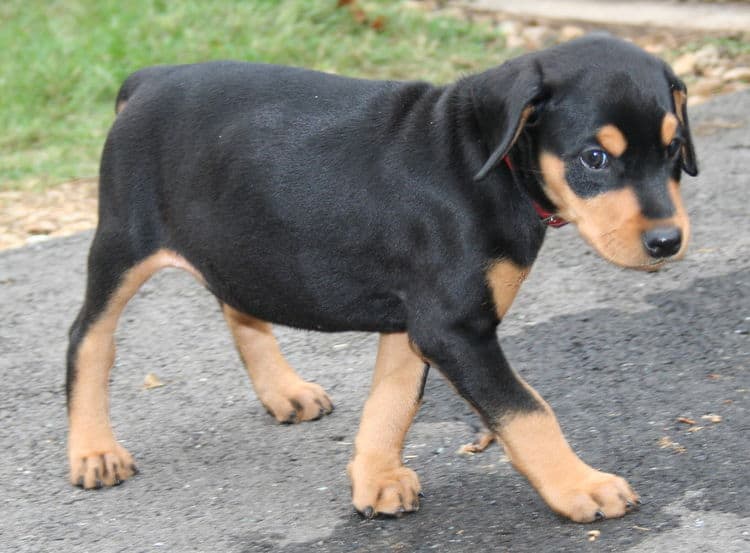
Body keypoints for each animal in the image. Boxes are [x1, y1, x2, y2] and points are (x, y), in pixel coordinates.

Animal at [66, 35, 700, 520]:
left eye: (674, 149)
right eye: (594, 158)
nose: (668, 242)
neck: (488, 163)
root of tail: (151, 78)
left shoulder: (415, 320)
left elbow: (393, 401)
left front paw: (376, 478)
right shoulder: (454, 328)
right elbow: (527, 409)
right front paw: (580, 486)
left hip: (242, 241)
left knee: (237, 304)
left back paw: (284, 391)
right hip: (122, 243)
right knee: (88, 339)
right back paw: (94, 451)